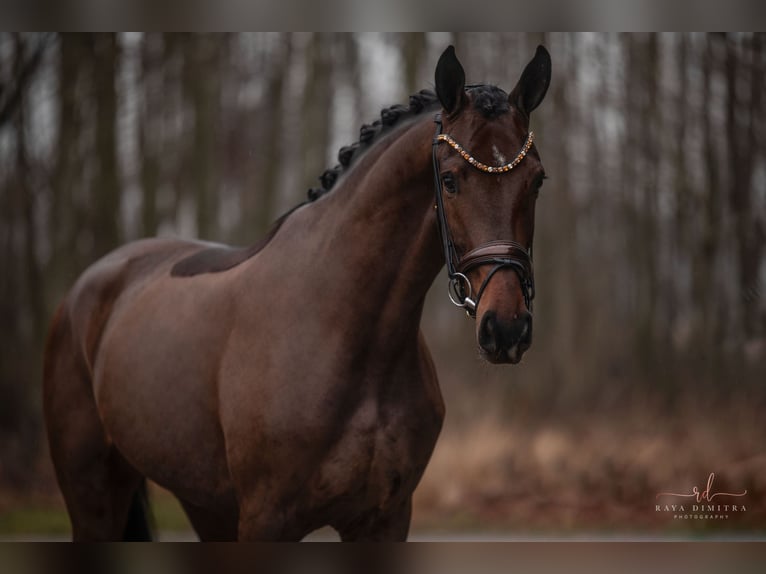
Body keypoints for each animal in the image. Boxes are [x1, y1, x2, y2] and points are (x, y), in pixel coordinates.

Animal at [43, 46, 552, 544]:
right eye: (449, 180)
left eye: (537, 180)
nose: (506, 327)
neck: (348, 333)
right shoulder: (266, 519)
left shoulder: (385, 519)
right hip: (93, 495)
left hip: (202, 501)